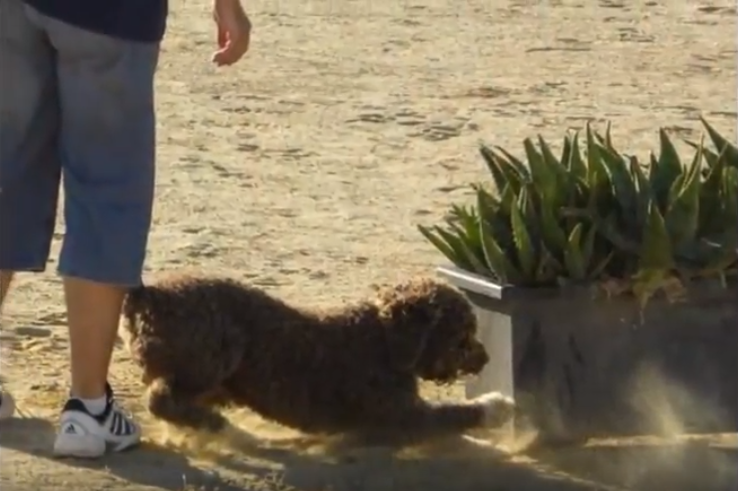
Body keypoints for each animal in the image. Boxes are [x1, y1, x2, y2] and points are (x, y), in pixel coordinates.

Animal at [119, 274, 512, 440]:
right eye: (462, 337)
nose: (486, 358)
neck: (384, 338)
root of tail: (149, 296)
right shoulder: (402, 415)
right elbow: (458, 413)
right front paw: (498, 405)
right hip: (219, 350)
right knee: (160, 398)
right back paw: (210, 421)